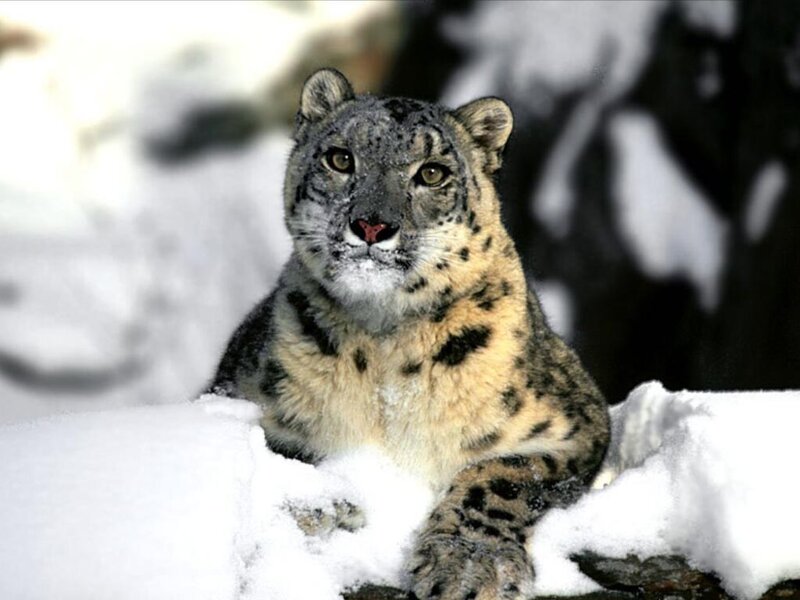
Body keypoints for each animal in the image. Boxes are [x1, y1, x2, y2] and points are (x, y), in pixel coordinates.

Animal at [210, 68, 610, 600]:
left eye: (432, 172)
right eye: (340, 158)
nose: (371, 225)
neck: (384, 347)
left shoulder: (574, 424)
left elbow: (504, 473)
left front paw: (469, 564)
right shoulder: (239, 396)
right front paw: (328, 504)